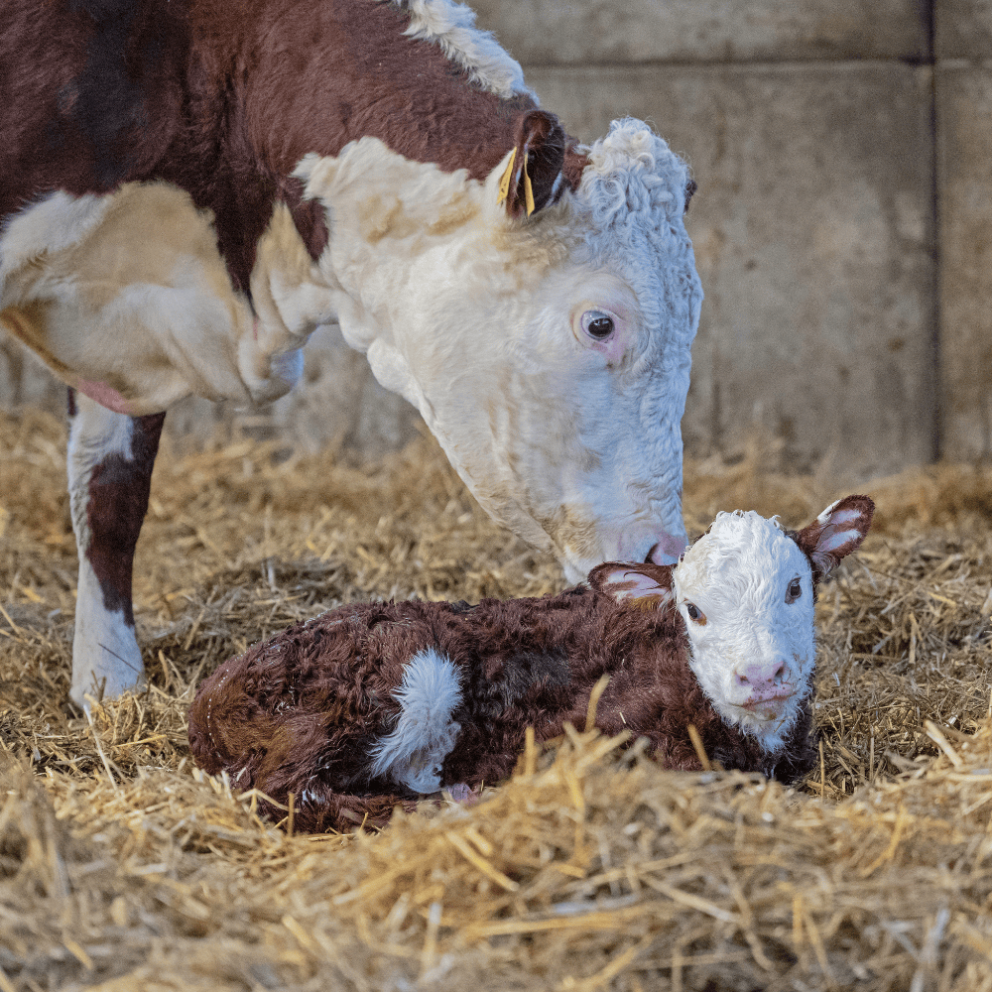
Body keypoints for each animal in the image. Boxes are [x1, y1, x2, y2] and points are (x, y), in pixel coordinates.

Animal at [190, 494, 872, 828]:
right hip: (391, 680)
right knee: (285, 792)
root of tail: (207, 696)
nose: (759, 675)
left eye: (795, 588)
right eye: (694, 611)